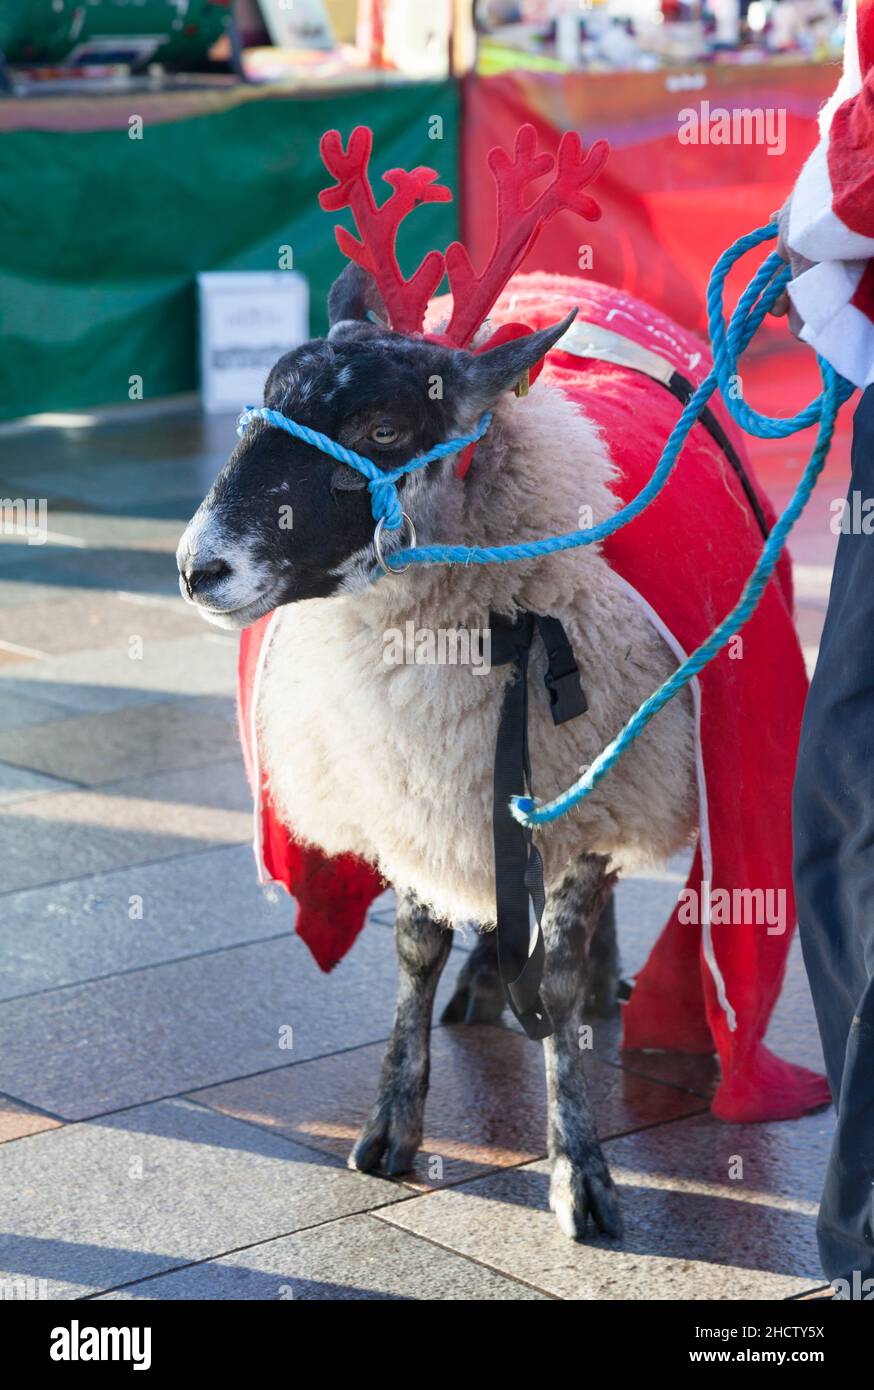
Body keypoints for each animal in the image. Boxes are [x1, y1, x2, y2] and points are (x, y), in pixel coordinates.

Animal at [177, 258, 697, 1240]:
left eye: (383, 431)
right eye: (262, 404)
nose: (198, 567)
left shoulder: (591, 783)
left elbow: (558, 984)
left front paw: (580, 1174)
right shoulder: (412, 786)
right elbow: (416, 952)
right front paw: (389, 1132)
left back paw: (593, 981)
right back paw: (488, 982)